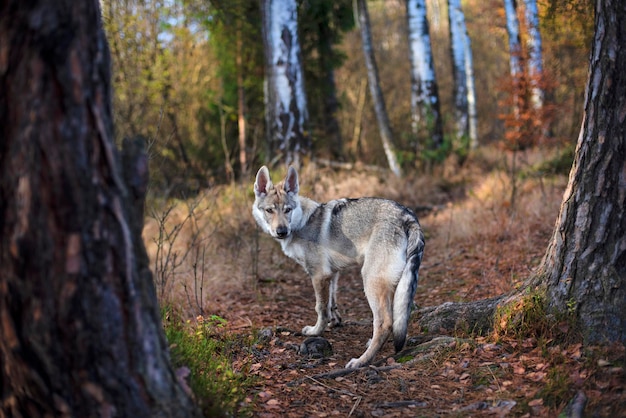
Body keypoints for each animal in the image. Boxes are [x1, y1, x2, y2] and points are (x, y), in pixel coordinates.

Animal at [250, 167, 424, 370]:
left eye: (287, 210)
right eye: (269, 210)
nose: (282, 231)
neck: (301, 222)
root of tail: (407, 216)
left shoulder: (318, 275)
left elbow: (320, 308)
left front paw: (316, 331)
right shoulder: (332, 274)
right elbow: (331, 304)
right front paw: (335, 322)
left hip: (370, 281)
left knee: (384, 323)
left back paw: (361, 361)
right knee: (400, 316)